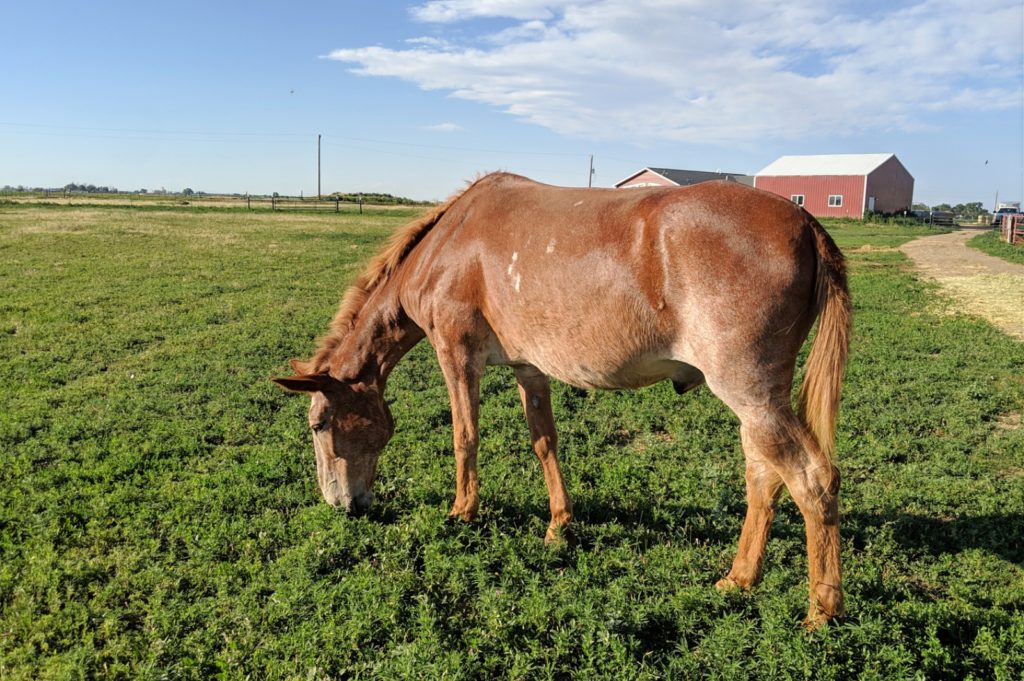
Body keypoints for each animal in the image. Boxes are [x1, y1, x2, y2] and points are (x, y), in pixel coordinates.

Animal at [270, 173, 847, 622]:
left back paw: (822, 610)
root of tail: (806, 224)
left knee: (812, 480)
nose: (343, 504)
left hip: (751, 394)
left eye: (319, 425)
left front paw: (463, 511)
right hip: (754, 405)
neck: (450, 243)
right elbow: (544, 443)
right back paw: (740, 578)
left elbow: (465, 436)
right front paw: (559, 523)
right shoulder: (530, 369)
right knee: (763, 477)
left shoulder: (456, 355)